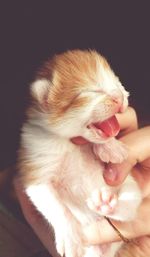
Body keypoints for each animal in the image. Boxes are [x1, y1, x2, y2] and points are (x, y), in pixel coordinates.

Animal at [17, 50, 142, 256]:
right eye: (91, 92)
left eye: (116, 82)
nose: (118, 96)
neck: (68, 144)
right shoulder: (37, 172)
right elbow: (58, 208)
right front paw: (69, 237)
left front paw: (112, 148)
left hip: (130, 186)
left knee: (128, 209)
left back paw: (107, 204)